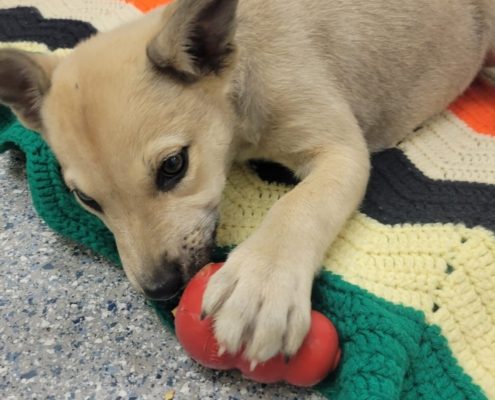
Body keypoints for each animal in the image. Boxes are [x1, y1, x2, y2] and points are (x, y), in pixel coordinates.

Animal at [0, 0, 495, 366]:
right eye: (86, 199)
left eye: (174, 165)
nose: (161, 290)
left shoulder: (341, 150)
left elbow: (297, 205)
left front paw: (261, 283)